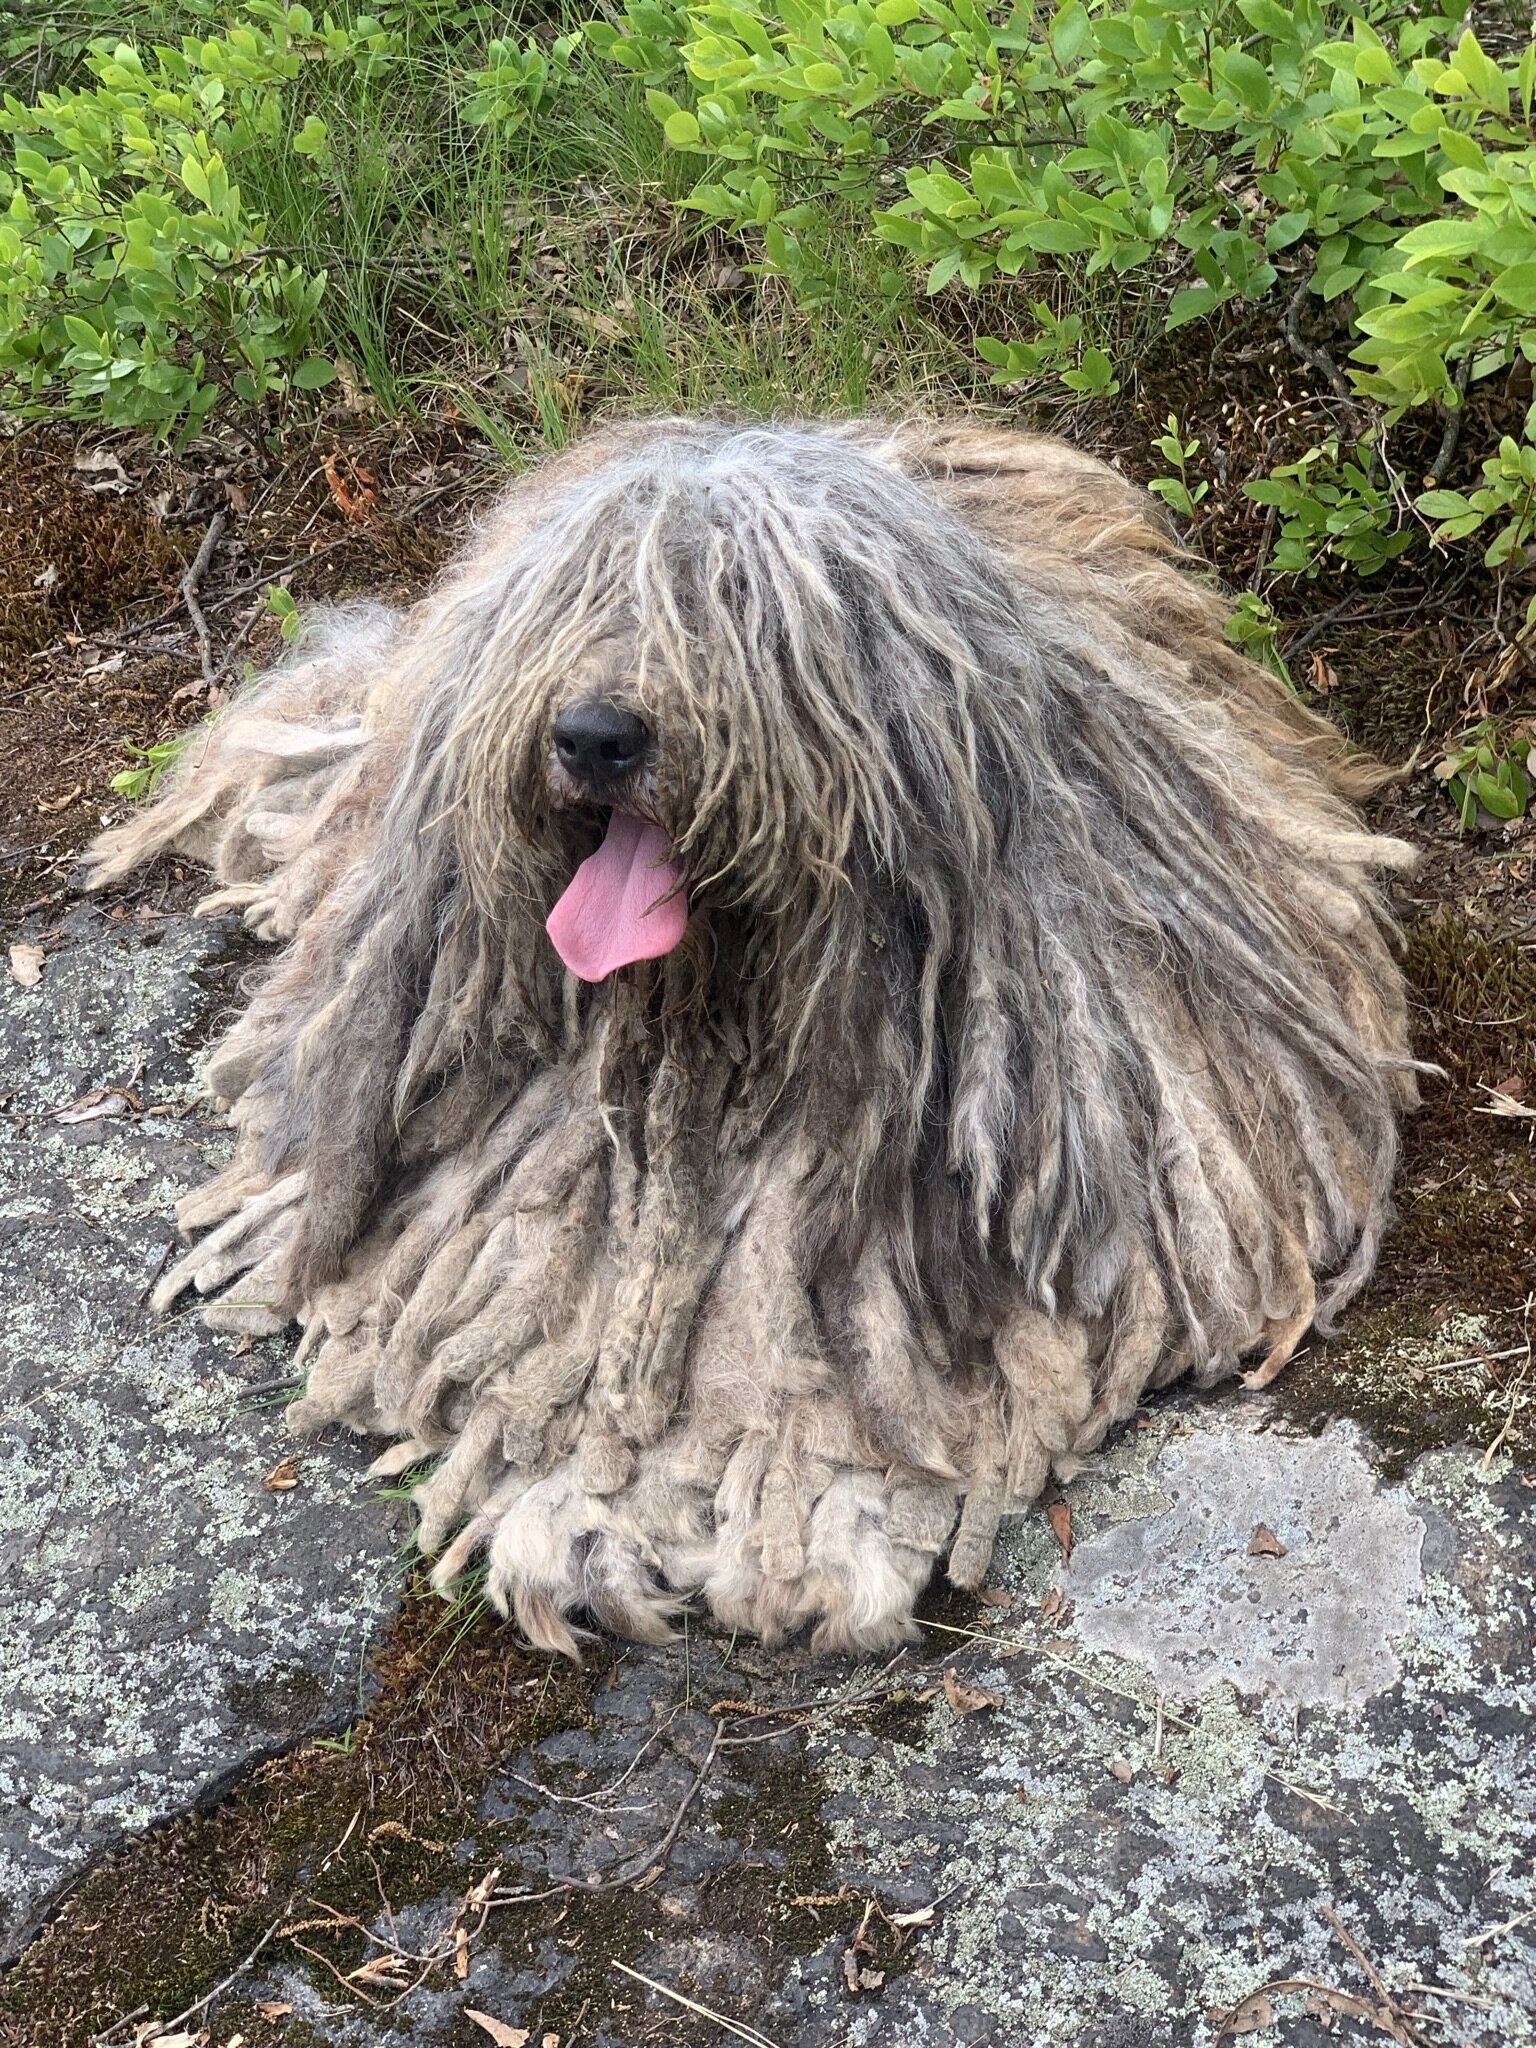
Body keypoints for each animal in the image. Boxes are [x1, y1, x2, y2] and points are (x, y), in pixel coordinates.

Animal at [93, 423, 1417, 1654]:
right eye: (579, 597)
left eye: (737, 611)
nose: (593, 733)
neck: (722, 1035)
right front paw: (588, 1512)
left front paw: (796, 1525)